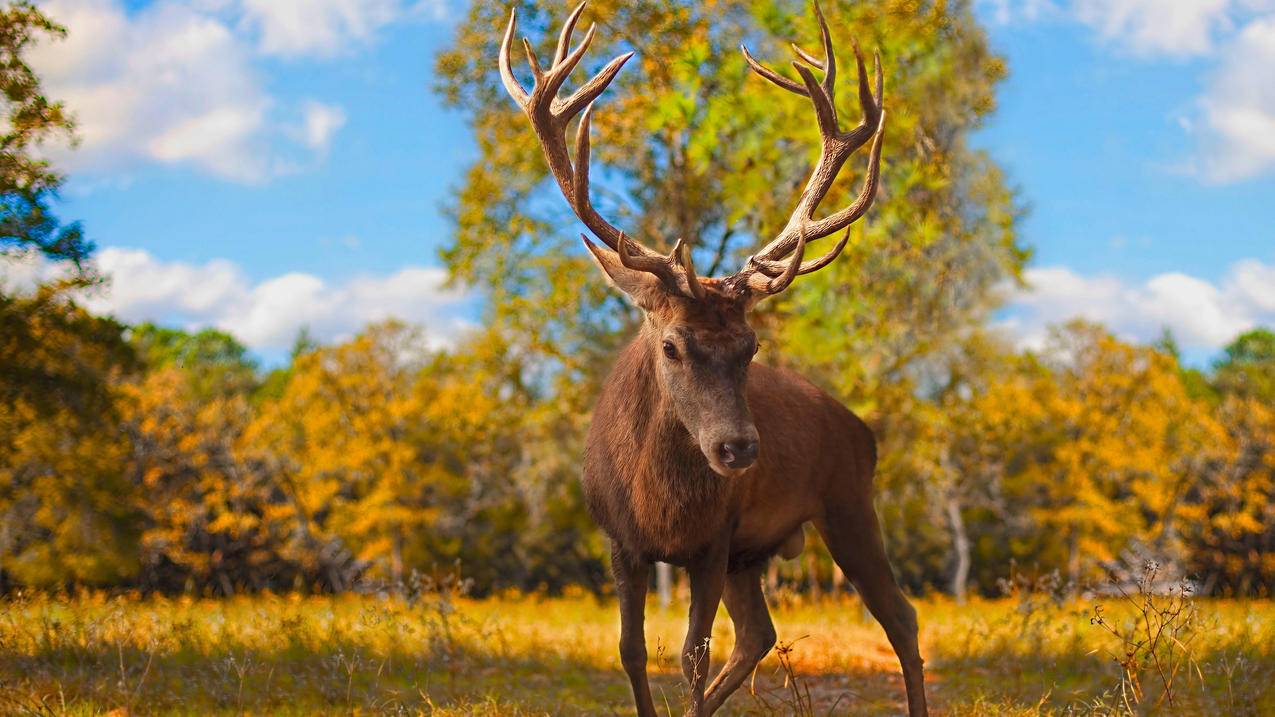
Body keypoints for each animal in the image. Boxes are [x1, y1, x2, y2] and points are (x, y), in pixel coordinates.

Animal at [497, 1, 928, 714]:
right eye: (672, 345)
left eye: (751, 348)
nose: (738, 449)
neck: (659, 505)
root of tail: (862, 429)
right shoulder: (620, 541)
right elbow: (632, 651)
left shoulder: (713, 541)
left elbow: (690, 659)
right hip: (755, 555)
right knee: (759, 634)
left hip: (848, 503)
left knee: (900, 616)